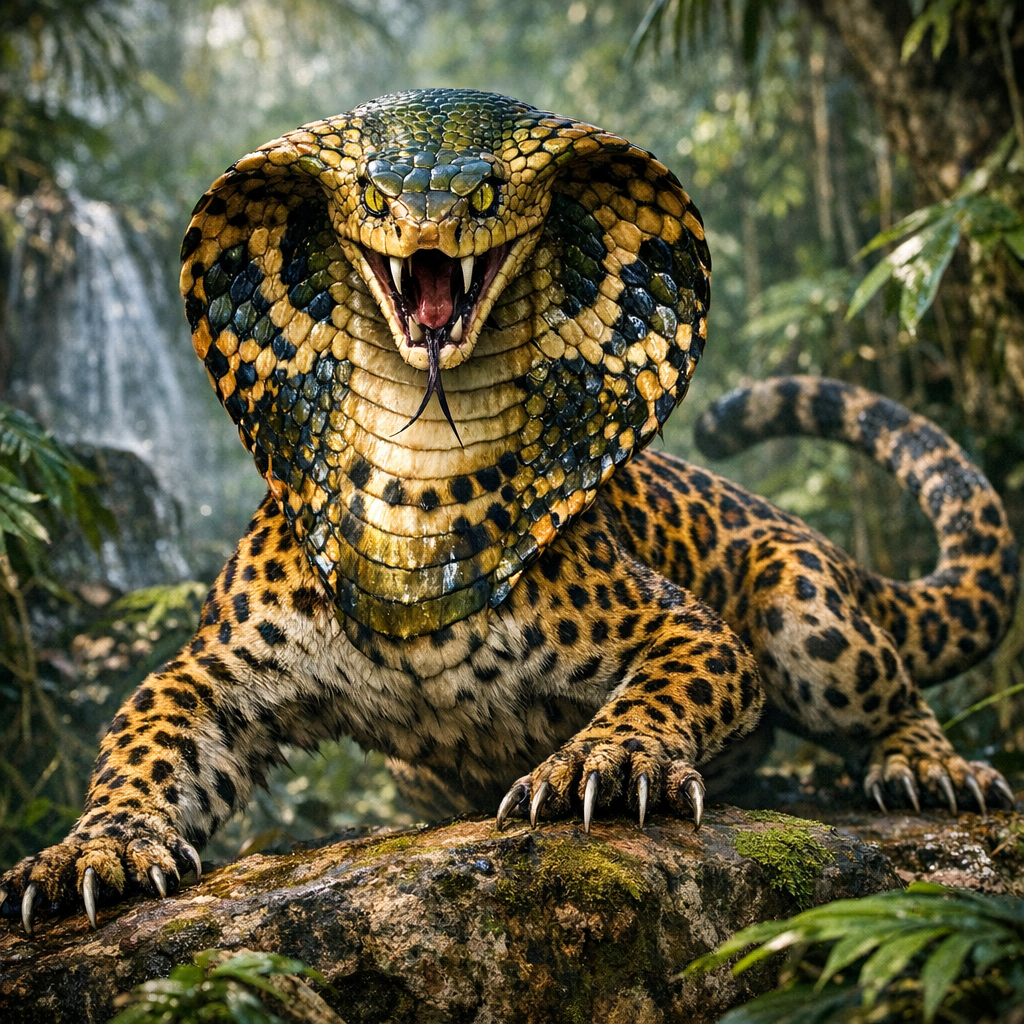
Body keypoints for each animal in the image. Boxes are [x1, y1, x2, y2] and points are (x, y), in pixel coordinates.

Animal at [1, 88, 1018, 937]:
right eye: (369, 191)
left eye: (488, 190)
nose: (428, 226)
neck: (418, 487)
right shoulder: (212, 671)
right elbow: (144, 747)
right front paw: (94, 850)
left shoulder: (686, 627)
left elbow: (661, 690)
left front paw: (609, 764)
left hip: (800, 600)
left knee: (889, 686)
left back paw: (932, 770)